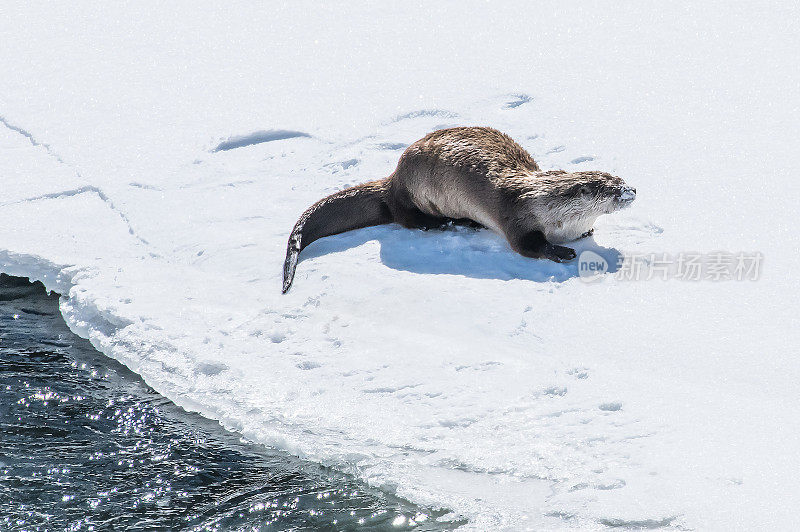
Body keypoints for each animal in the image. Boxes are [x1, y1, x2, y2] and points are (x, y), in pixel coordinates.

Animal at [284, 127, 636, 294]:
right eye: (613, 187)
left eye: (622, 180)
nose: (633, 190)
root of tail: (394, 179)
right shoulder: (517, 215)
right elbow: (525, 246)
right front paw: (561, 252)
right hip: (414, 190)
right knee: (405, 217)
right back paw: (448, 223)